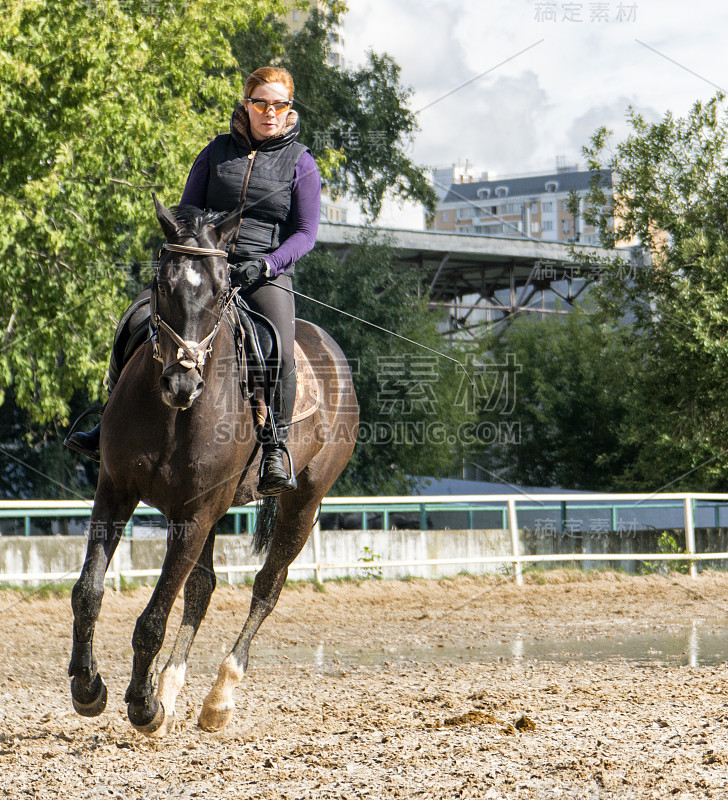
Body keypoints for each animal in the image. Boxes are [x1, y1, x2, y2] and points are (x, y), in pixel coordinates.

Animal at [69, 200, 360, 736]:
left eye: (224, 287)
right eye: (162, 282)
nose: (182, 382)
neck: (174, 414)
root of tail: (329, 349)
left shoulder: (197, 512)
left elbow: (153, 618)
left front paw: (142, 706)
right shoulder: (116, 489)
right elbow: (89, 591)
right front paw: (88, 687)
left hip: (303, 502)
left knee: (267, 587)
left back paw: (218, 697)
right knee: (201, 590)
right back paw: (170, 689)